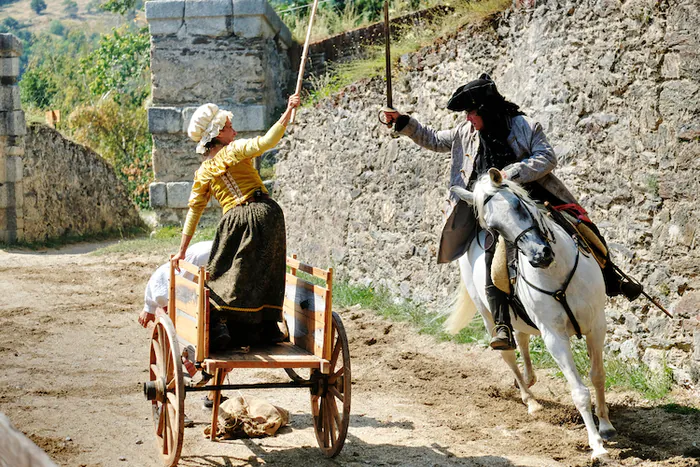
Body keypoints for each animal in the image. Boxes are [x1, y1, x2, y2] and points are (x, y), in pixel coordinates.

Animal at [446, 169, 616, 460]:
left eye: (518, 205)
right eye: (494, 228)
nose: (539, 256)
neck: (557, 272)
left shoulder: (597, 325)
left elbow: (598, 375)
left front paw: (605, 426)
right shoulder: (554, 337)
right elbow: (579, 392)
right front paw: (596, 445)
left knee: (523, 339)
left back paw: (529, 379)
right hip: (489, 318)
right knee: (508, 353)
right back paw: (531, 401)